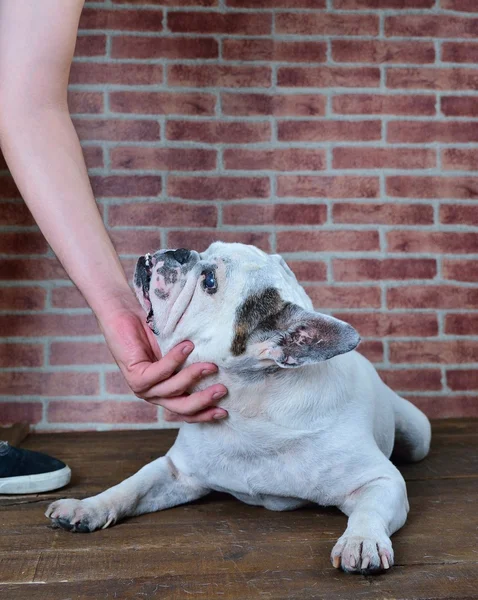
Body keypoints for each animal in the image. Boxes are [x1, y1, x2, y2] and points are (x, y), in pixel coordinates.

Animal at [46, 241, 432, 576]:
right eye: (206, 249)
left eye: (209, 281)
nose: (180, 251)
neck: (248, 414)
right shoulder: (176, 473)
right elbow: (131, 487)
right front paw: (88, 506)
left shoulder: (380, 480)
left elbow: (370, 510)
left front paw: (362, 540)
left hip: (418, 437)